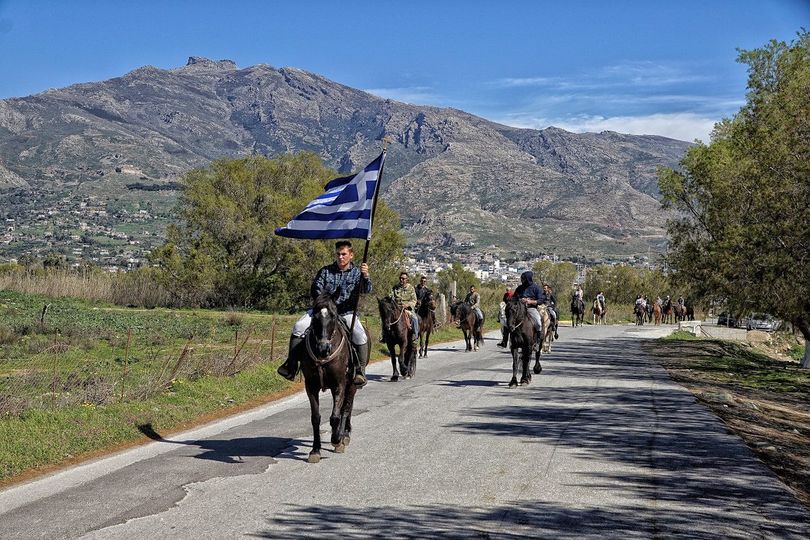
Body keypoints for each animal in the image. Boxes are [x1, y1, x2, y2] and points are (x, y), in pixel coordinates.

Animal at [298, 294, 358, 462]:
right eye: (315, 317)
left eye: (333, 316)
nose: (323, 348)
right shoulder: (311, 386)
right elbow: (316, 418)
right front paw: (315, 450)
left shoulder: (340, 384)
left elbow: (335, 416)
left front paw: (336, 439)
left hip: (352, 385)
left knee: (346, 408)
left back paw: (343, 435)